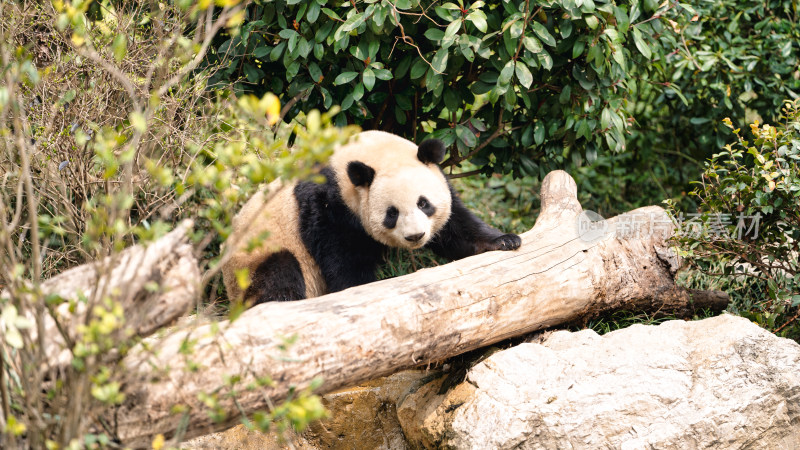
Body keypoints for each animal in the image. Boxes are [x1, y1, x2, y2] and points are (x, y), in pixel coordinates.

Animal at [223, 131, 524, 306]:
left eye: (423, 203)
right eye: (392, 213)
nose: (416, 237)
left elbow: (457, 228)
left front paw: (505, 241)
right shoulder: (328, 207)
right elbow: (343, 259)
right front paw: (362, 290)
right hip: (255, 258)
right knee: (279, 275)